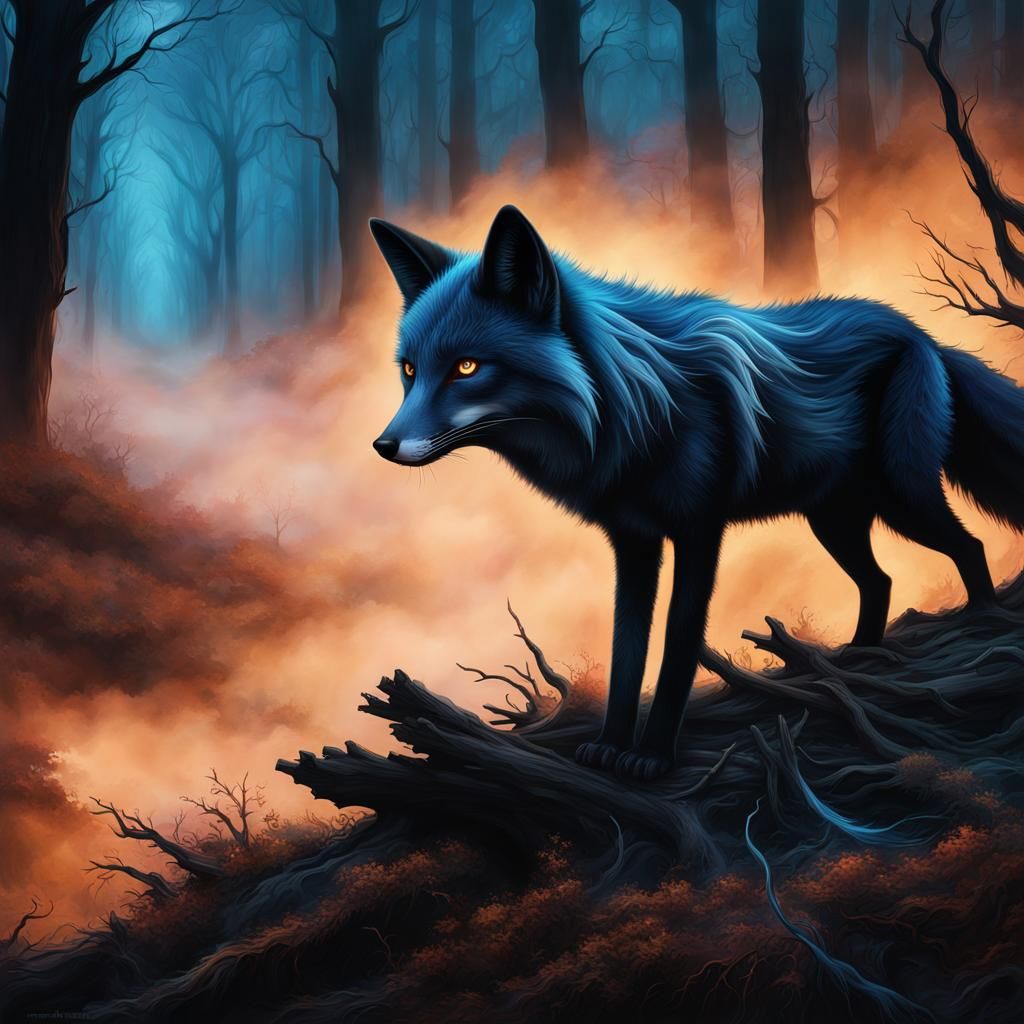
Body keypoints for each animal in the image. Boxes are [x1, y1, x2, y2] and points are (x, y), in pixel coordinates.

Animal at [369, 205, 1024, 781]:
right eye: (410, 370)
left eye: (467, 368)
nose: (382, 445)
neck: (631, 408)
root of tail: (924, 335)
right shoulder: (633, 542)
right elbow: (627, 648)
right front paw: (611, 746)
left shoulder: (698, 532)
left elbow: (679, 643)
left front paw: (653, 758)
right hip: (833, 522)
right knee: (880, 581)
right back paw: (858, 660)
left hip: (902, 500)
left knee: (968, 548)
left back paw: (983, 626)